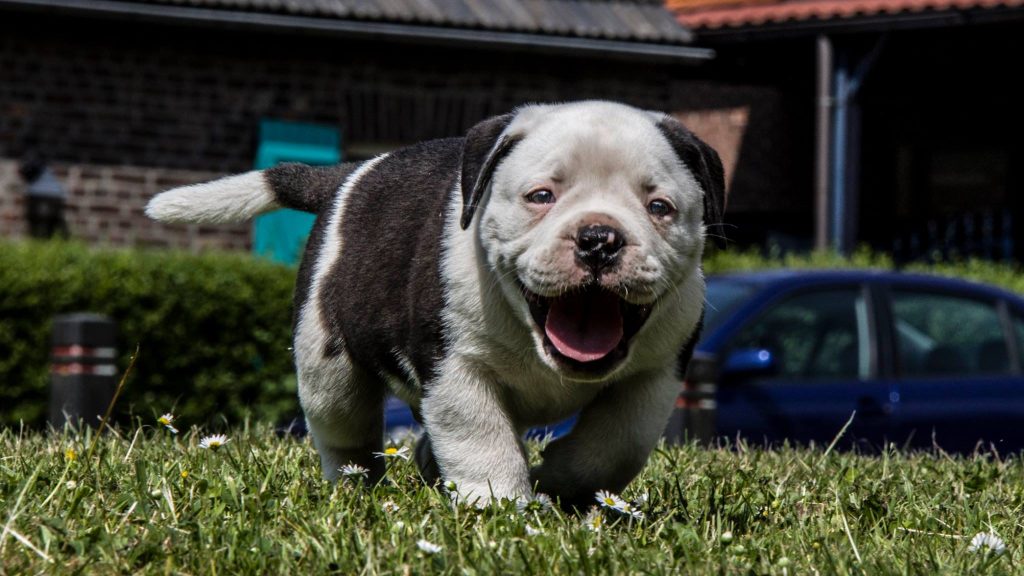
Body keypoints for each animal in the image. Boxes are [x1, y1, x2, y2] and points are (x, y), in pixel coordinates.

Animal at [144, 99, 724, 506]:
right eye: (541, 196)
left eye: (659, 207)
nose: (599, 239)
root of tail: (347, 174)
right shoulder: (454, 367)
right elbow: (480, 436)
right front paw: (502, 508)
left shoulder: (656, 372)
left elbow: (617, 444)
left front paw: (558, 480)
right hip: (326, 363)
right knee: (345, 434)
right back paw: (357, 492)